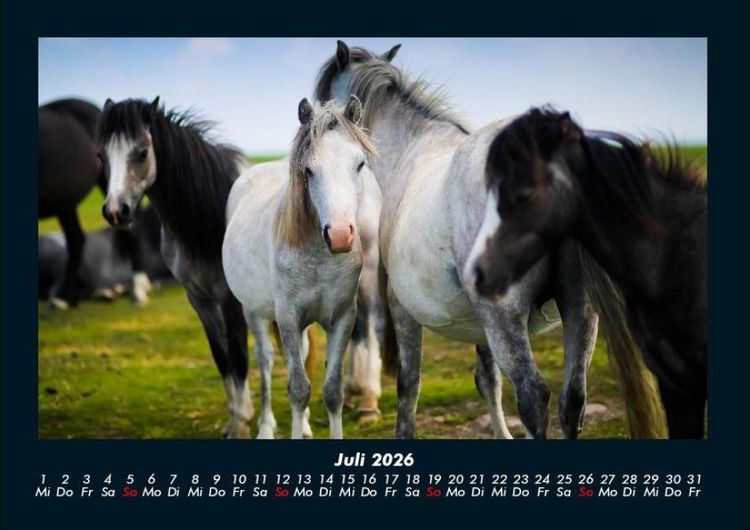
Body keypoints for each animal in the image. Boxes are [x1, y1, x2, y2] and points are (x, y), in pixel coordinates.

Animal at [222, 97, 382, 439]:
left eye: (359, 164)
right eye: (308, 170)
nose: (339, 235)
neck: (319, 258)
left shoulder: (342, 319)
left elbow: (332, 391)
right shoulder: (288, 319)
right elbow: (298, 389)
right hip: (253, 312)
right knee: (266, 362)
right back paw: (266, 428)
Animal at [315, 41, 662, 439]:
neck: (413, 149)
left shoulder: (402, 307)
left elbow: (409, 384)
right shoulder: (477, 322)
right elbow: (488, 380)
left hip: (505, 317)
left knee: (532, 395)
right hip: (579, 309)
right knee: (573, 399)